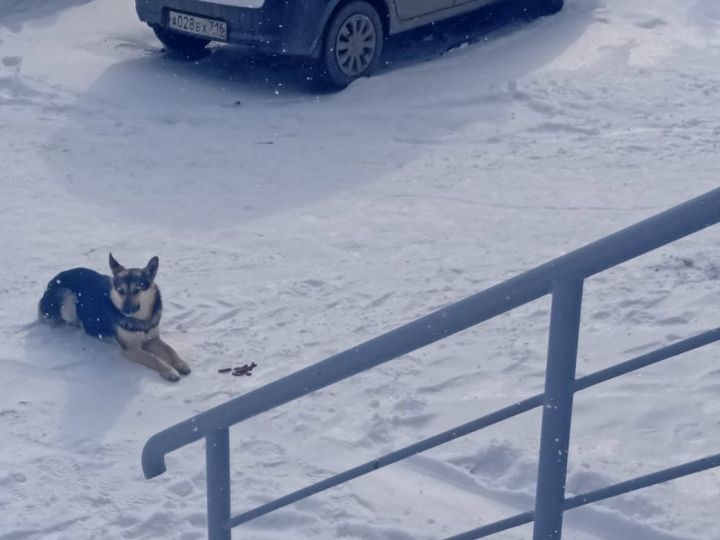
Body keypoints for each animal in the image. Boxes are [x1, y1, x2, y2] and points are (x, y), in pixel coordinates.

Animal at [38, 255, 191, 382]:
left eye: (137, 289)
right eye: (120, 290)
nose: (125, 310)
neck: (141, 320)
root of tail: (50, 283)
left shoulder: (152, 339)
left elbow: (170, 350)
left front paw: (181, 364)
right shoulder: (130, 349)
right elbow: (153, 358)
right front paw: (169, 371)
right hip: (68, 297)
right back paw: (78, 324)